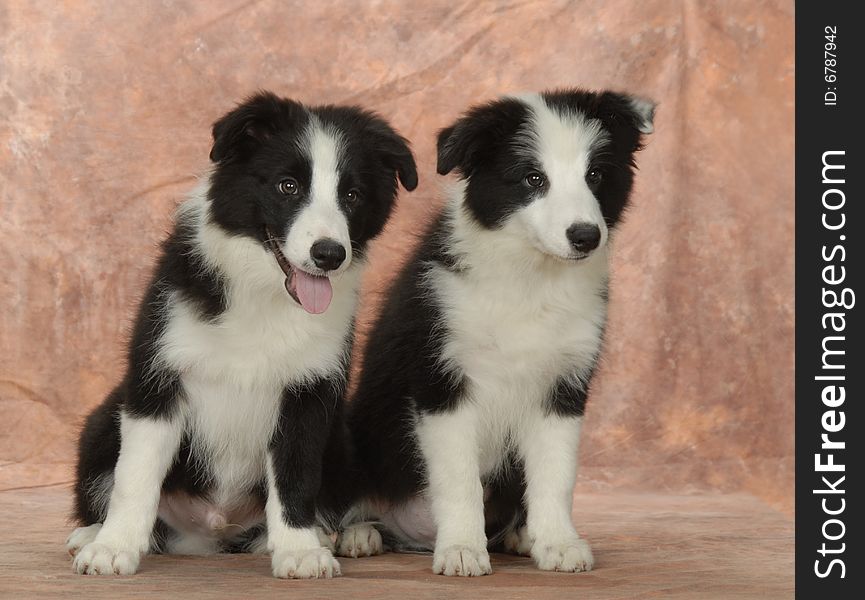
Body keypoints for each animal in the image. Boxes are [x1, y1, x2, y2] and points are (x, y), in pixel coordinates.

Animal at [66, 91, 416, 580]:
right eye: (288, 186)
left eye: (352, 194)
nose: (329, 254)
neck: (263, 291)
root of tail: (212, 532)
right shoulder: (158, 377)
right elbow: (135, 474)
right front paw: (113, 547)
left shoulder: (309, 392)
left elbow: (295, 475)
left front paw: (299, 550)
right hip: (101, 422)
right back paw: (91, 534)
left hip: (342, 439)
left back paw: (350, 535)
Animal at [340, 89, 652, 576]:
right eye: (532, 179)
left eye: (596, 175)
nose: (585, 236)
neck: (530, 278)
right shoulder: (441, 381)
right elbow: (459, 478)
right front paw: (462, 549)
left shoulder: (563, 385)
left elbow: (556, 473)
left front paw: (558, 543)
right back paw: (358, 534)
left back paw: (520, 535)